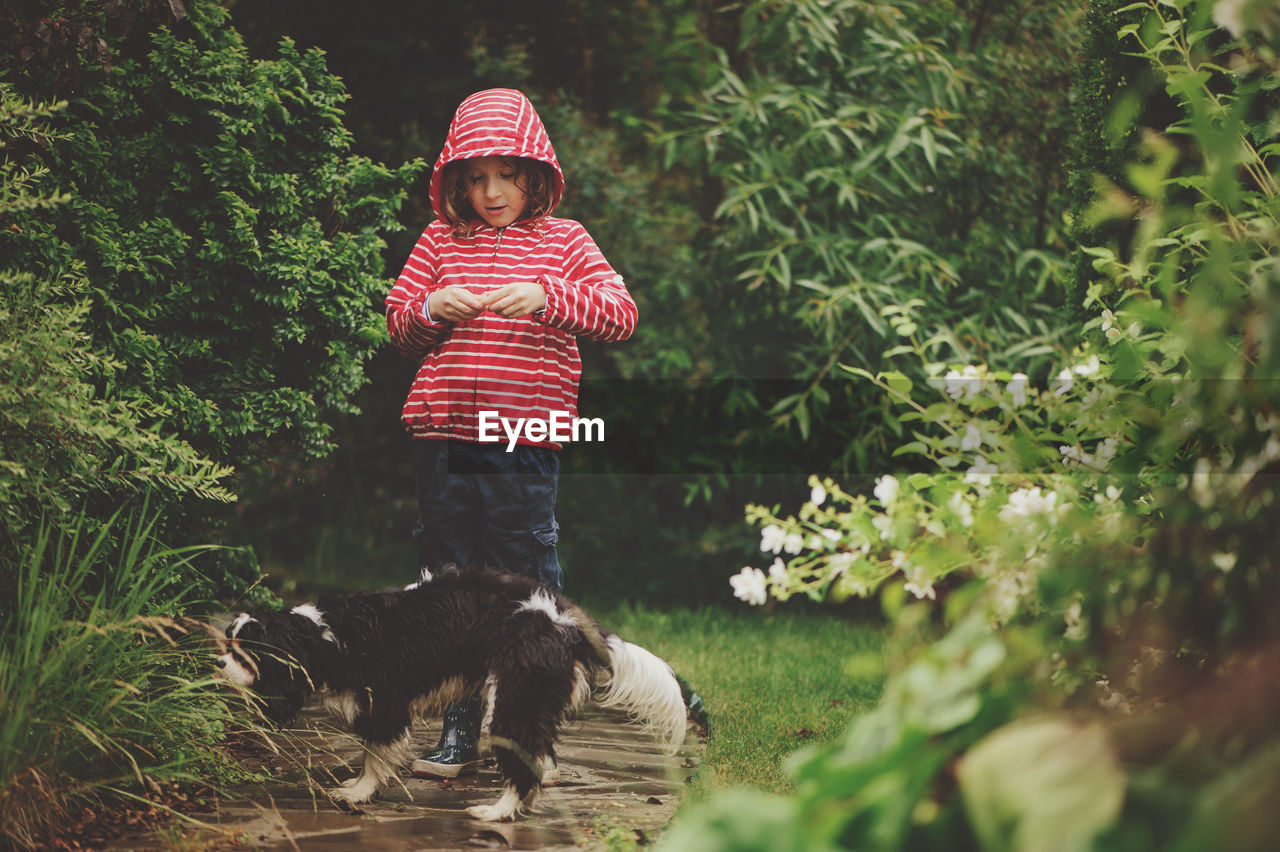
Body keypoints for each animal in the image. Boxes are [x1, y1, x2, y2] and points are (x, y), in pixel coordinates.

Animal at [215, 568, 686, 818]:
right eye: (226, 644)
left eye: (243, 653)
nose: (217, 664)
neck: (325, 637)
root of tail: (566, 621)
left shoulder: (384, 703)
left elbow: (374, 754)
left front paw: (359, 792)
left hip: (513, 697)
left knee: (525, 763)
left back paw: (498, 812)